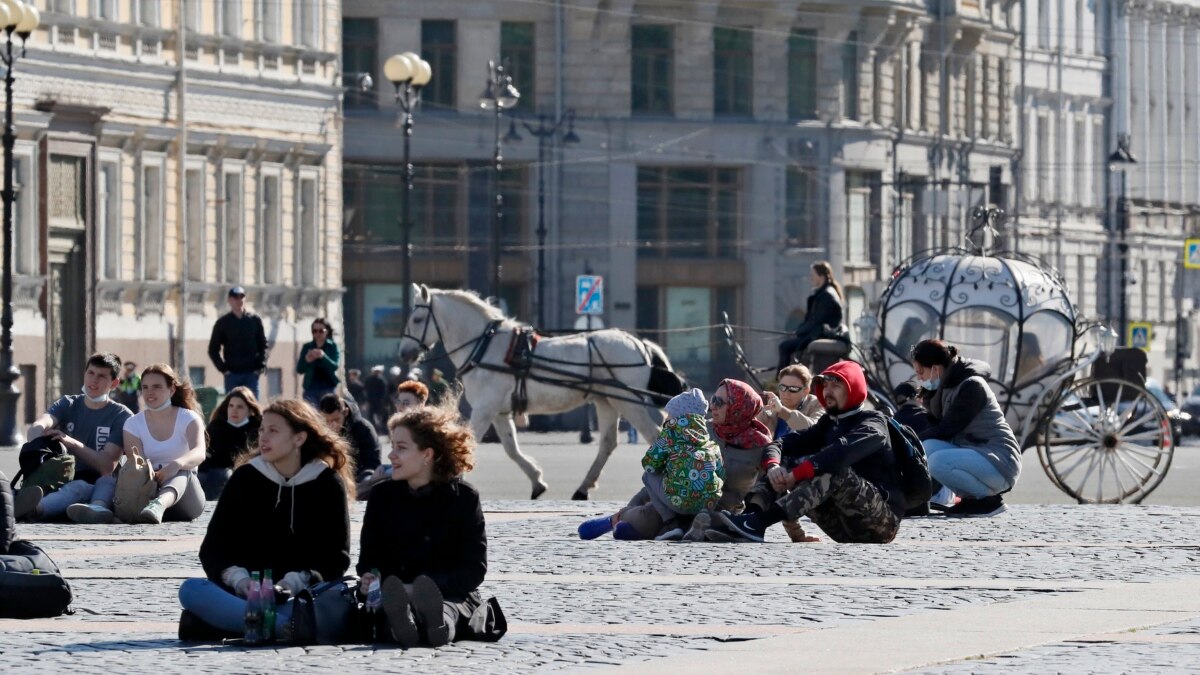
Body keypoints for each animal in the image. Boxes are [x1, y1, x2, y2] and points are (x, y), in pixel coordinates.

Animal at [396, 281, 672, 497]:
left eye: (417, 319)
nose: (404, 352)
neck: (485, 346)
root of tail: (637, 343)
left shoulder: (485, 408)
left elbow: (469, 439)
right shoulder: (499, 411)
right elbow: (511, 448)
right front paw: (537, 480)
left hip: (628, 400)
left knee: (653, 434)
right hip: (606, 401)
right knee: (608, 443)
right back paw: (583, 487)